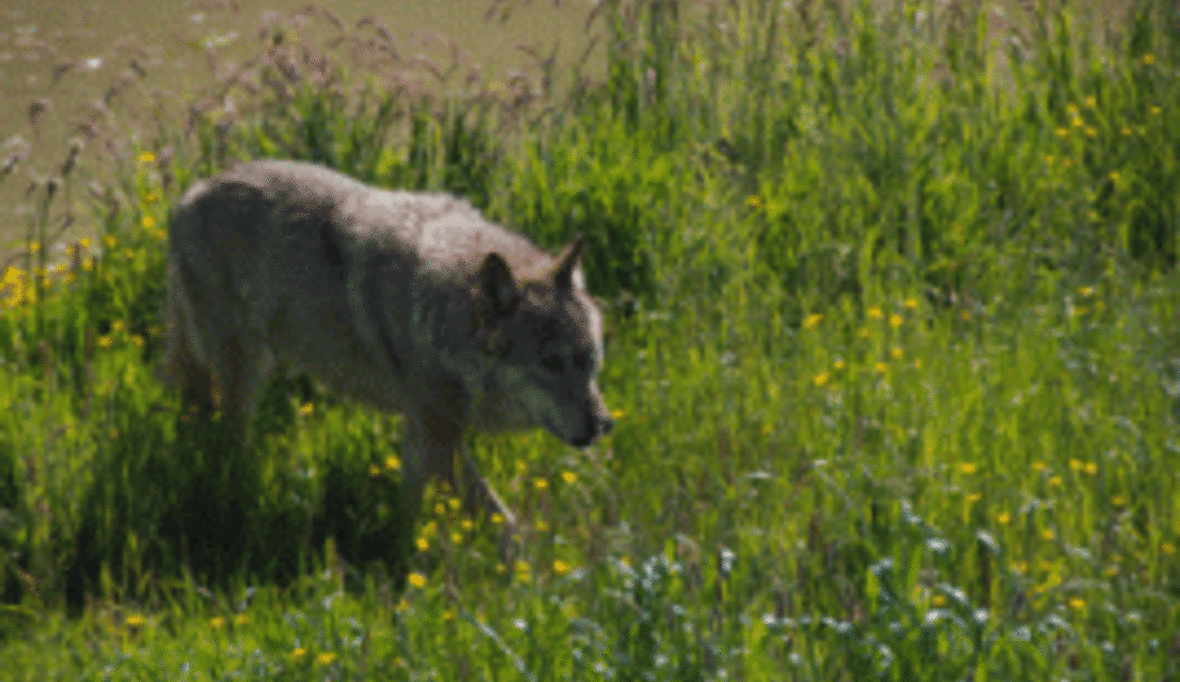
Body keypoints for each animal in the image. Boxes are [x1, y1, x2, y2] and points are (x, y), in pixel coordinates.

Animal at [160, 160, 618, 530]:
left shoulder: (428, 432)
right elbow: (460, 524)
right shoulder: (437, 434)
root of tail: (188, 194)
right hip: (244, 375)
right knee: (229, 437)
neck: (443, 318)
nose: (604, 425)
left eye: (590, 361)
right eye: (552, 364)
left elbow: (486, 522)